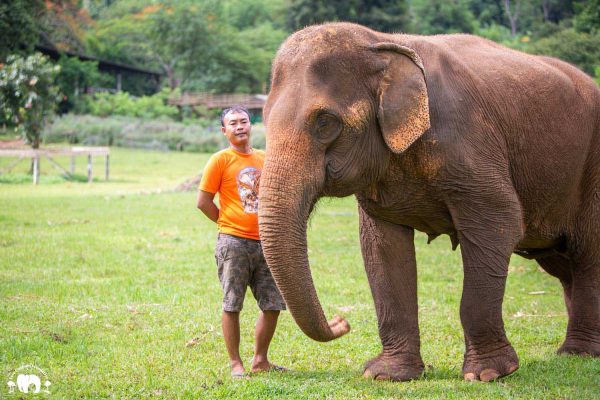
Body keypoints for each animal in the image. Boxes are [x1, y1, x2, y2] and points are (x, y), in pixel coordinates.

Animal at [258, 22, 600, 382]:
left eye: (325, 122)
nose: (341, 322)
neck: (383, 43)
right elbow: (383, 249)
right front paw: (386, 375)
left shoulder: (469, 141)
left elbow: (500, 223)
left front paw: (488, 374)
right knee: (562, 263)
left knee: (587, 254)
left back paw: (578, 352)